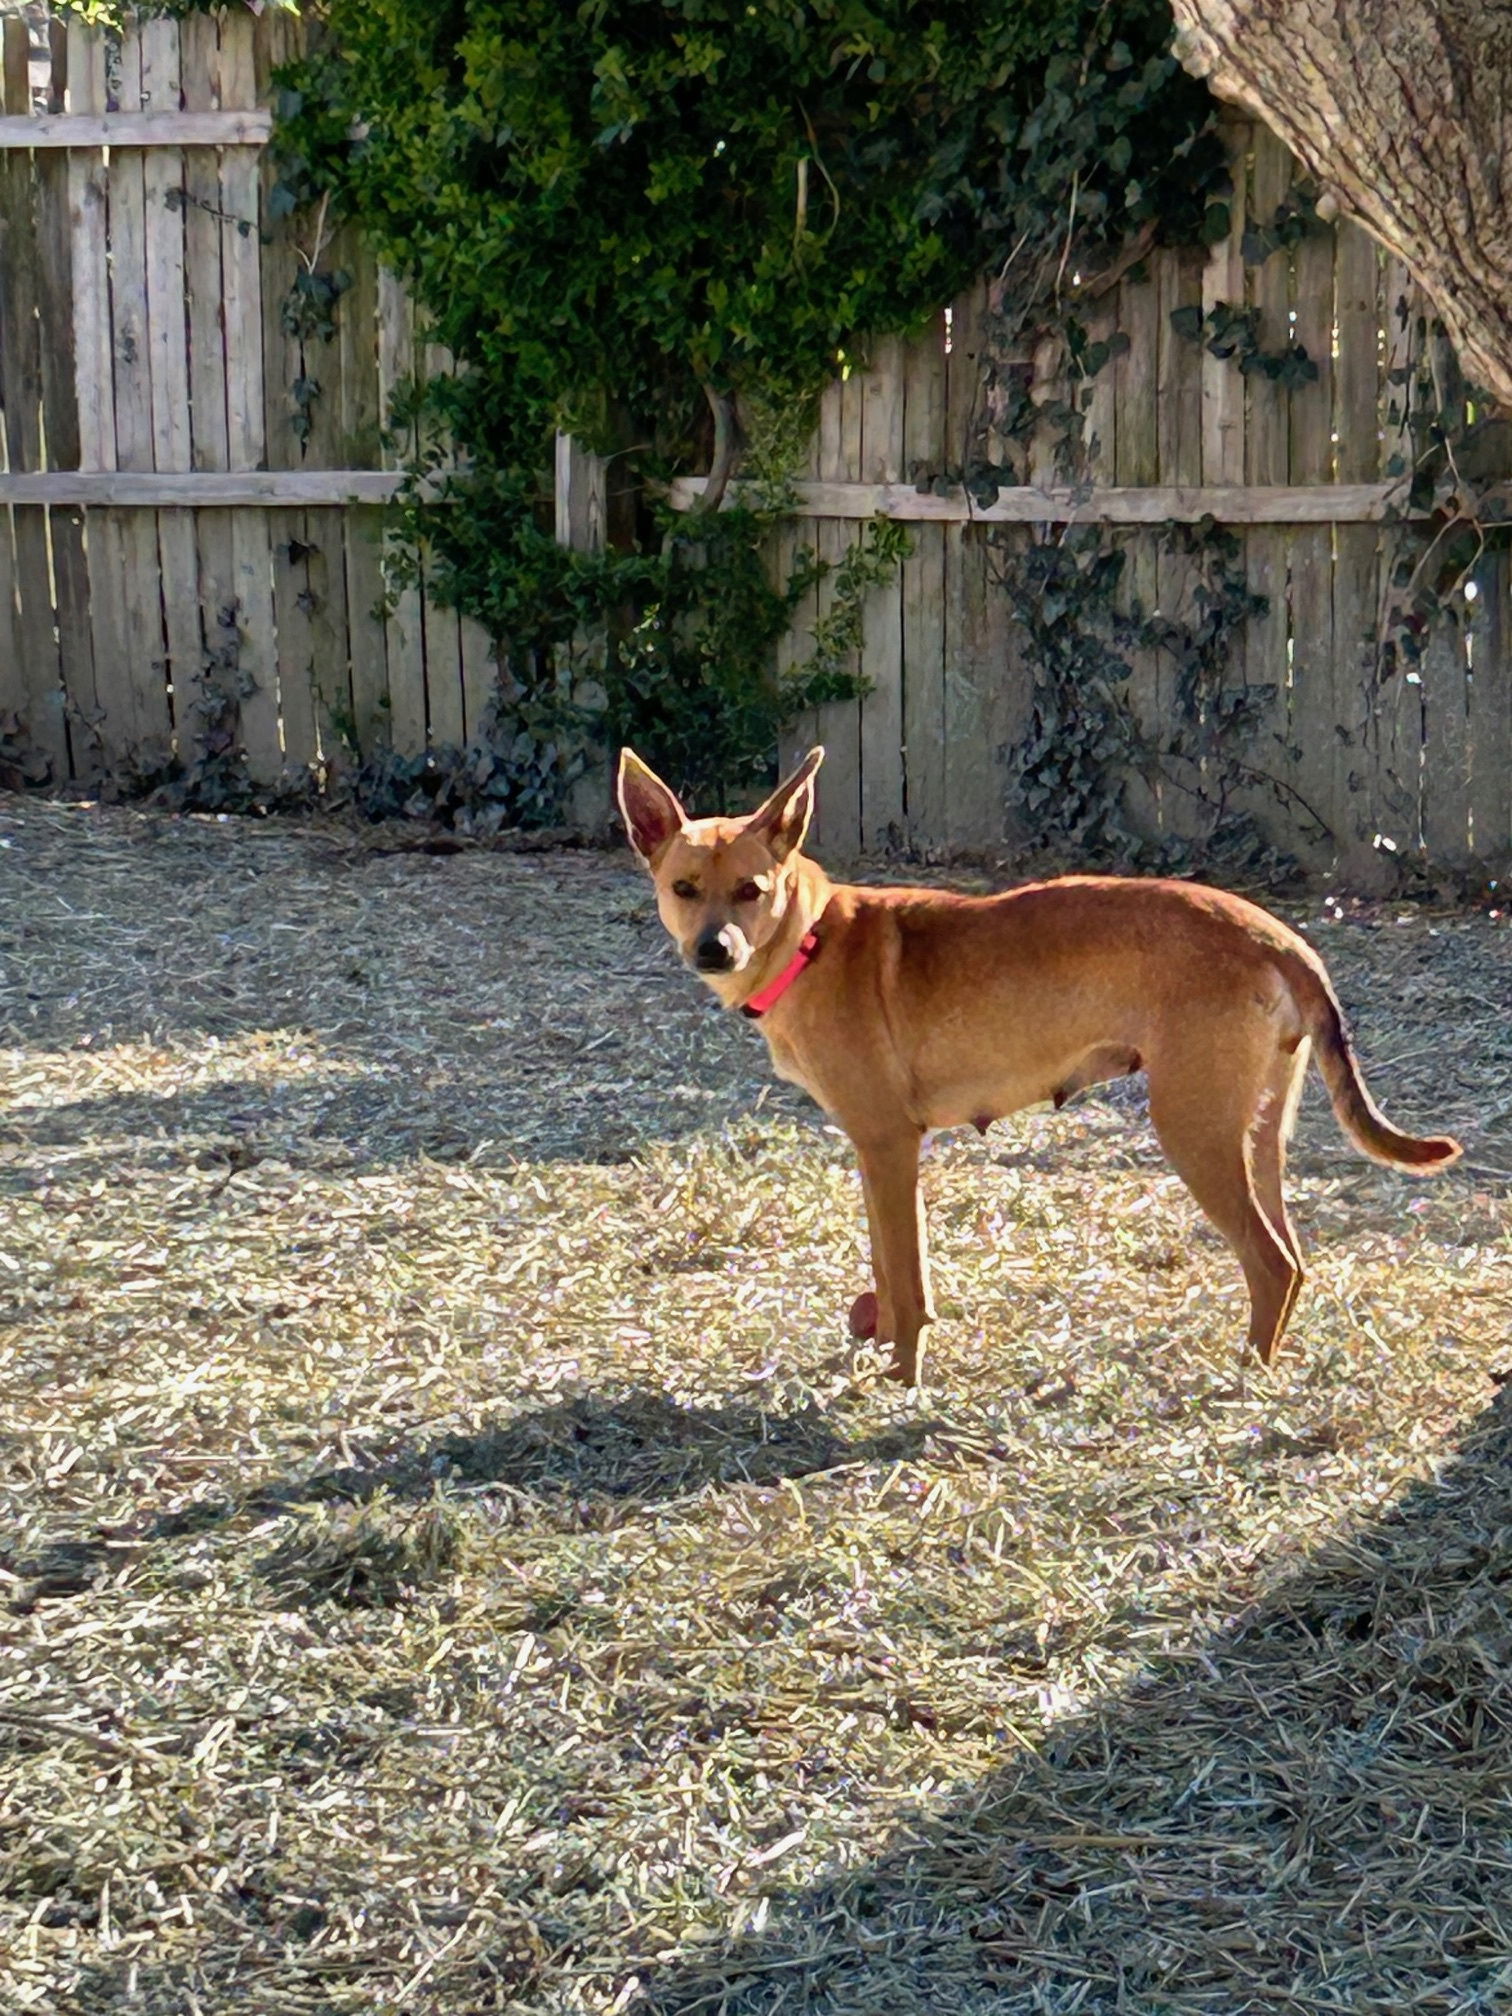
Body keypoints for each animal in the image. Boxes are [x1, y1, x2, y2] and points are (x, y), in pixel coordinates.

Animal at [616, 741, 1467, 1387]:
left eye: (751, 889)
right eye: (683, 887)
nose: (712, 949)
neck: (811, 939)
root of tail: (1278, 937)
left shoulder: (891, 1147)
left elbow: (909, 1282)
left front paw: (901, 1379)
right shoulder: (870, 1151)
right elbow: (886, 1271)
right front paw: (879, 1351)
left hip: (1192, 1132)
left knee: (1271, 1264)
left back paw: (1241, 1378)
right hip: (1256, 1137)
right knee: (1292, 1257)